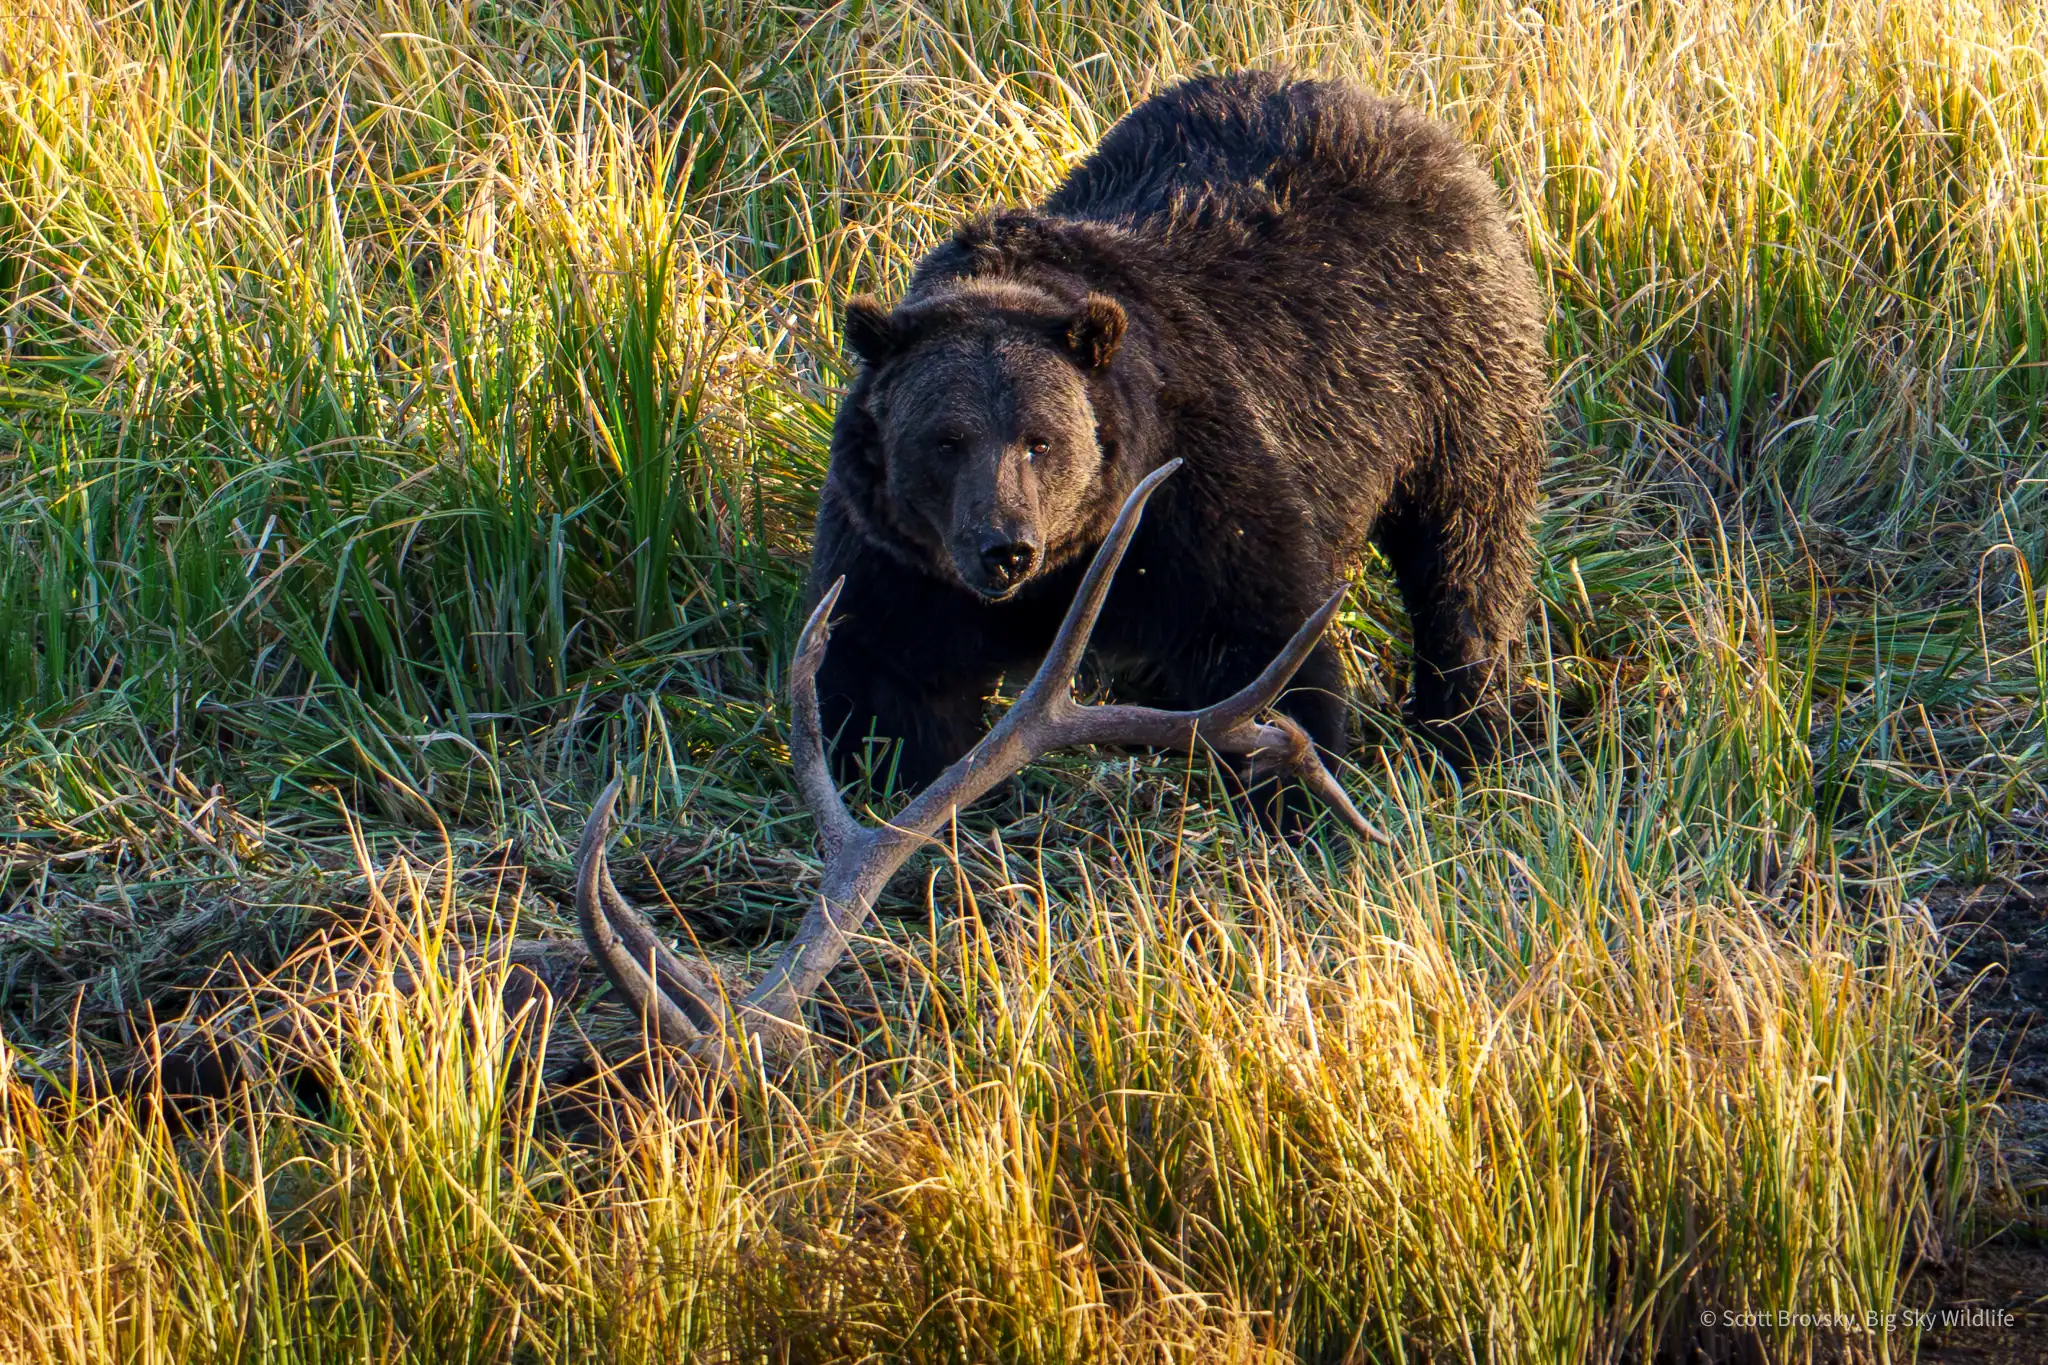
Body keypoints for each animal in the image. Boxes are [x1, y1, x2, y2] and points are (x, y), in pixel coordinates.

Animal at [804, 70, 1547, 816]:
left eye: (1041, 441)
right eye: (945, 441)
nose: (1004, 548)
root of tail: (1412, 123)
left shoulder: (1187, 496)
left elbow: (1261, 643)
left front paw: (1292, 796)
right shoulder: (899, 559)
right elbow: (888, 688)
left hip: (1452, 382)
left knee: (1466, 558)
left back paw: (1467, 728)